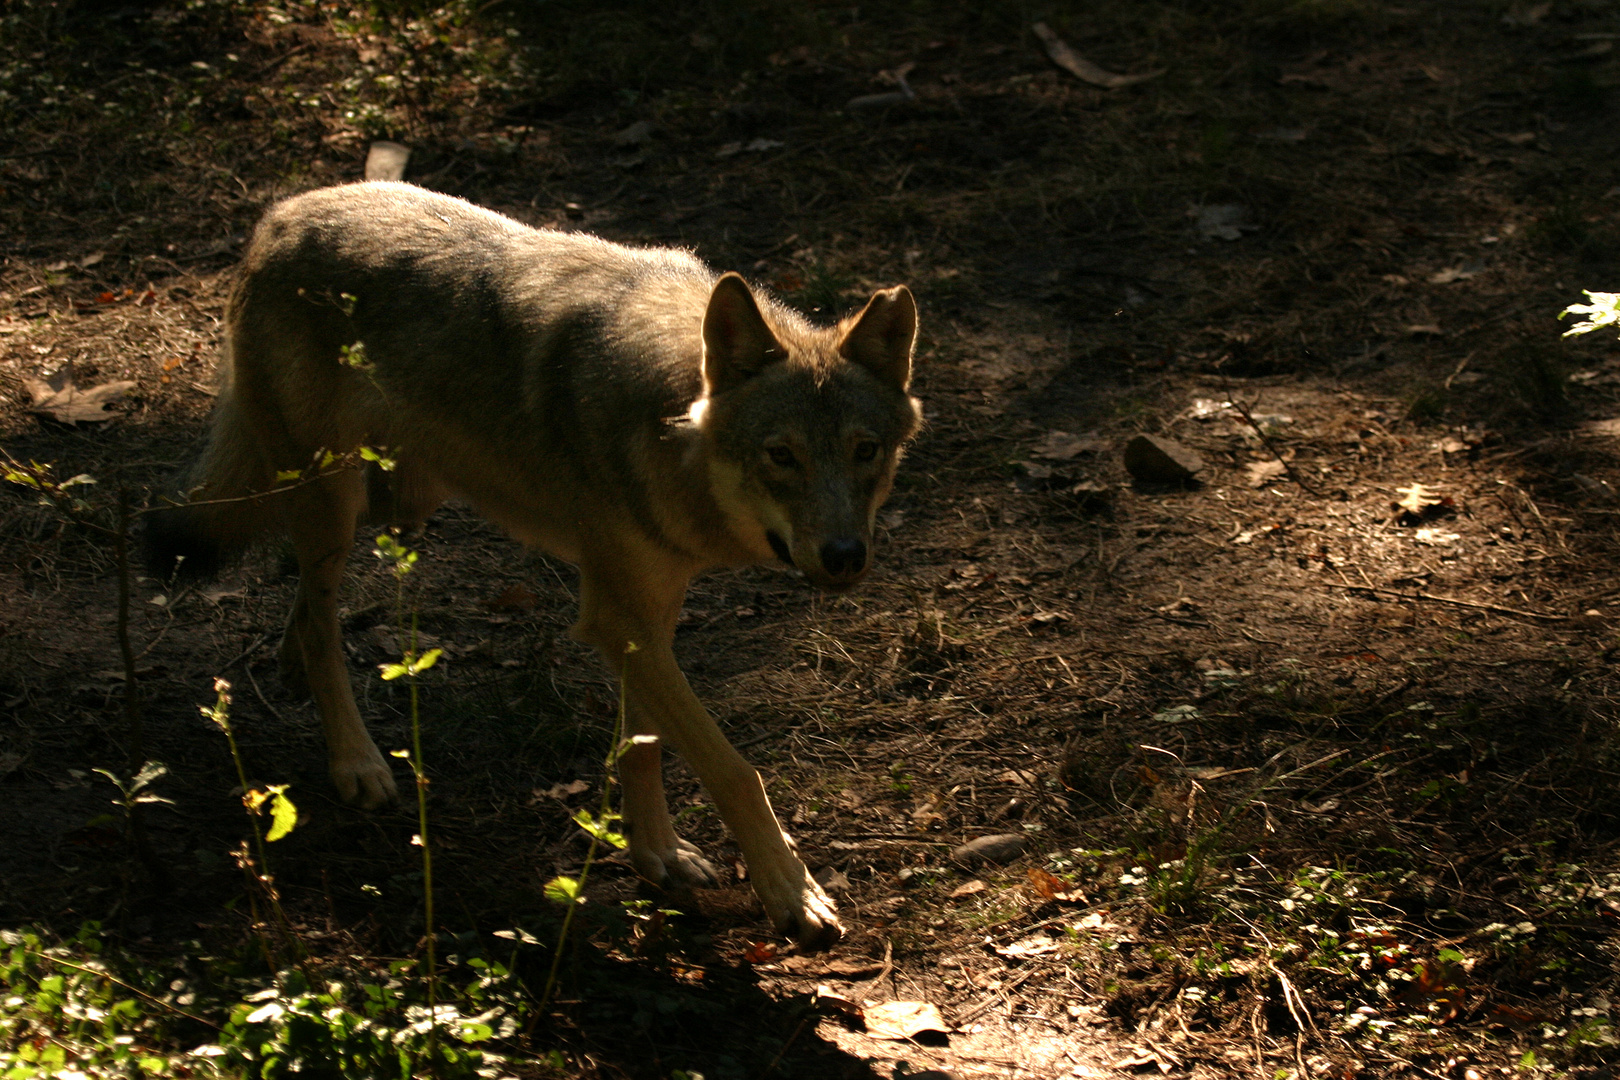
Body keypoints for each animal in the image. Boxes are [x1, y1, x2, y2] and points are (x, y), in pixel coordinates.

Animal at [149, 181, 926, 952]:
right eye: (781, 456)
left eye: (866, 451)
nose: (845, 557)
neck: (667, 420)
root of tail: (282, 213)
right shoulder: (617, 616)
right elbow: (731, 768)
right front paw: (793, 893)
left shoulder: (645, 614)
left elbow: (643, 743)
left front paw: (657, 855)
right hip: (336, 494)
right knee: (317, 612)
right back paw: (356, 763)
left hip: (398, 499)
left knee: (310, 603)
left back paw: (292, 668)